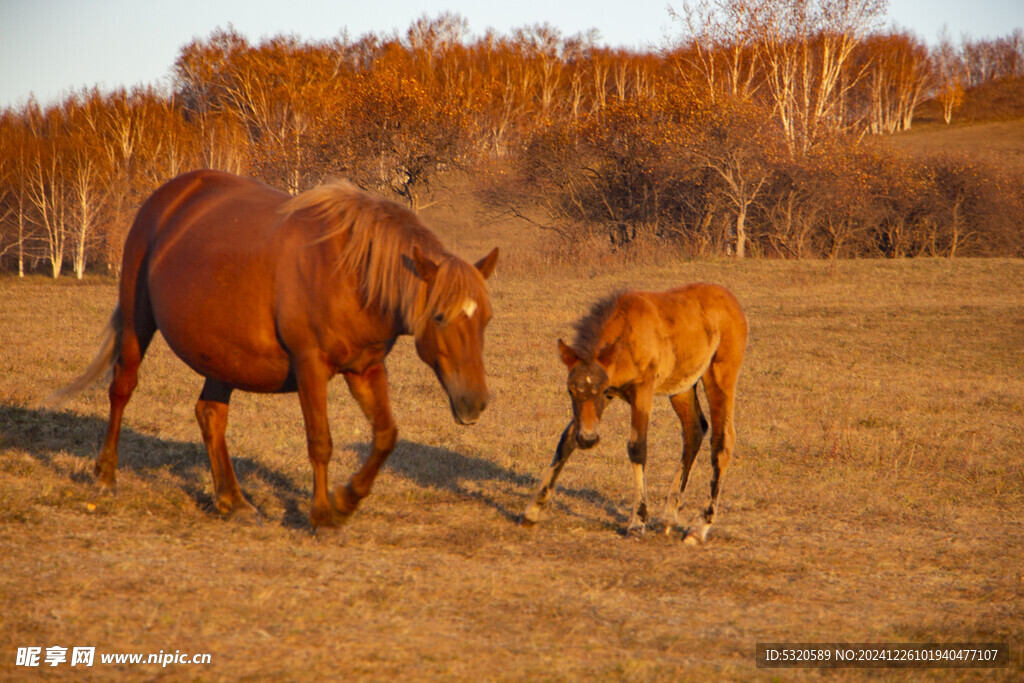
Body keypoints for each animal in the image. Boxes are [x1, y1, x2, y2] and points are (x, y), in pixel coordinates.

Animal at [51, 169, 499, 528]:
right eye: (439, 317)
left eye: (486, 319)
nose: (474, 402)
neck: (349, 272)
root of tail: (167, 198)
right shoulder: (310, 366)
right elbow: (320, 442)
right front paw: (323, 515)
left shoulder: (366, 369)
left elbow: (386, 436)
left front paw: (347, 498)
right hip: (137, 322)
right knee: (122, 389)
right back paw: (105, 476)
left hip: (222, 355)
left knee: (210, 415)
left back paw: (233, 501)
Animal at [524, 286, 749, 540]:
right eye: (570, 390)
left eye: (601, 389)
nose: (589, 440)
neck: (626, 332)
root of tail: (731, 299)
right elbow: (566, 440)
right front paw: (533, 510)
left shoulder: (642, 390)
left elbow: (637, 447)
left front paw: (638, 522)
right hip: (681, 386)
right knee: (694, 430)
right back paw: (669, 516)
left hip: (720, 374)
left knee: (722, 440)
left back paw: (700, 525)